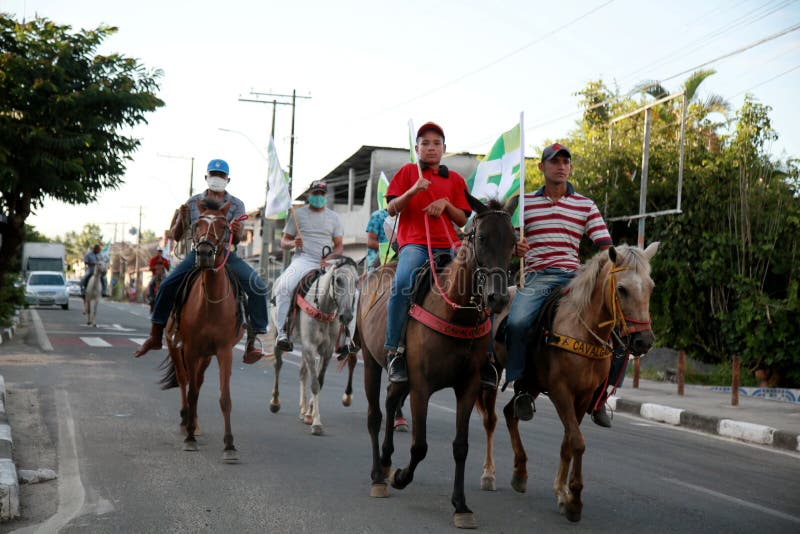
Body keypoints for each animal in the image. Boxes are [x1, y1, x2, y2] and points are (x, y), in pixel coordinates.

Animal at [157, 199, 242, 462]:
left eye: (225, 226)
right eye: (197, 225)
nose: (204, 253)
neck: (210, 303)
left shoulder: (224, 351)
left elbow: (225, 398)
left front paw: (229, 445)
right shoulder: (191, 348)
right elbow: (192, 391)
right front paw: (189, 439)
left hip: (206, 355)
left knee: (199, 380)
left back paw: (193, 423)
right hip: (176, 346)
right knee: (185, 380)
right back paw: (186, 421)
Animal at [268, 258, 358, 438]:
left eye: (356, 282)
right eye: (338, 280)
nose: (346, 316)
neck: (323, 308)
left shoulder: (326, 351)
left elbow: (319, 381)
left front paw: (310, 414)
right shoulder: (310, 347)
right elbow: (315, 384)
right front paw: (316, 423)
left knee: (302, 372)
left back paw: (304, 410)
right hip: (276, 333)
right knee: (278, 365)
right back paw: (275, 402)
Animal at [356, 195, 520, 528]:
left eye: (513, 241)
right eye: (482, 238)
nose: (497, 299)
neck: (454, 311)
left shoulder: (468, 386)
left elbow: (461, 447)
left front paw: (461, 505)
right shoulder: (421, 386)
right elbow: (420, 446)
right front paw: (402, 477)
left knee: (391, 401)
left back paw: (387, 459)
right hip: (370, 359)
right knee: (375, 414)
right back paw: (379, 475)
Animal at [476, 243, 656, 524]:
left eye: (651, 286)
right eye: (622, 289)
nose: (643, 341)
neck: (583, 330)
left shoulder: (583, 397)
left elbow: (568, 442)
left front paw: (562, 493)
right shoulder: (561, 392)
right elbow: (577, 442)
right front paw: (574, 500)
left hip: (533, 383)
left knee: (510, 413)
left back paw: (520, 472)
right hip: (493, 376)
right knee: (491, 420)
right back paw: (488, 474)